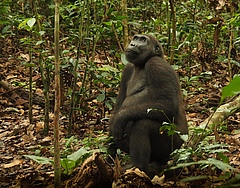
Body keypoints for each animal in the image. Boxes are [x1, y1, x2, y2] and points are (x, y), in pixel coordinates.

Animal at [108, 33, 188, 176]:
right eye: (135, 38)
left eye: (143, 40)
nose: (132, 44)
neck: (141, 64)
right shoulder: (127, 69)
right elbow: (118, 107)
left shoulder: (156, 64)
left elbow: (168, 105)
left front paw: (120, 118)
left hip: (175, 147)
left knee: (142, 124)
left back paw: (138, 168)